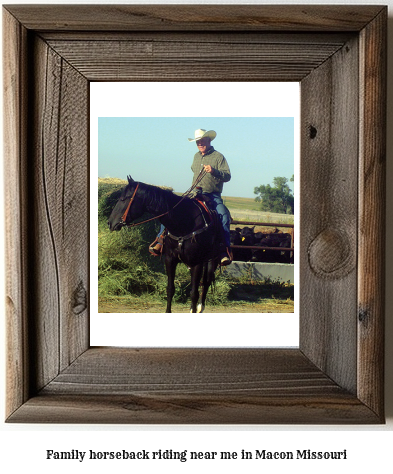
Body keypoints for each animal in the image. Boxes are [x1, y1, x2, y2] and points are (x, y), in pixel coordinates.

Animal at [107, 176, 220, 312]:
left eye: (124, 199)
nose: (110, 222)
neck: (184, 222)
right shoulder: (170, 260)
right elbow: (170, 289)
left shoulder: (196, 263)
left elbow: (194, 293)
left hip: (211, 261)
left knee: (206, 282)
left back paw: (199, 307)